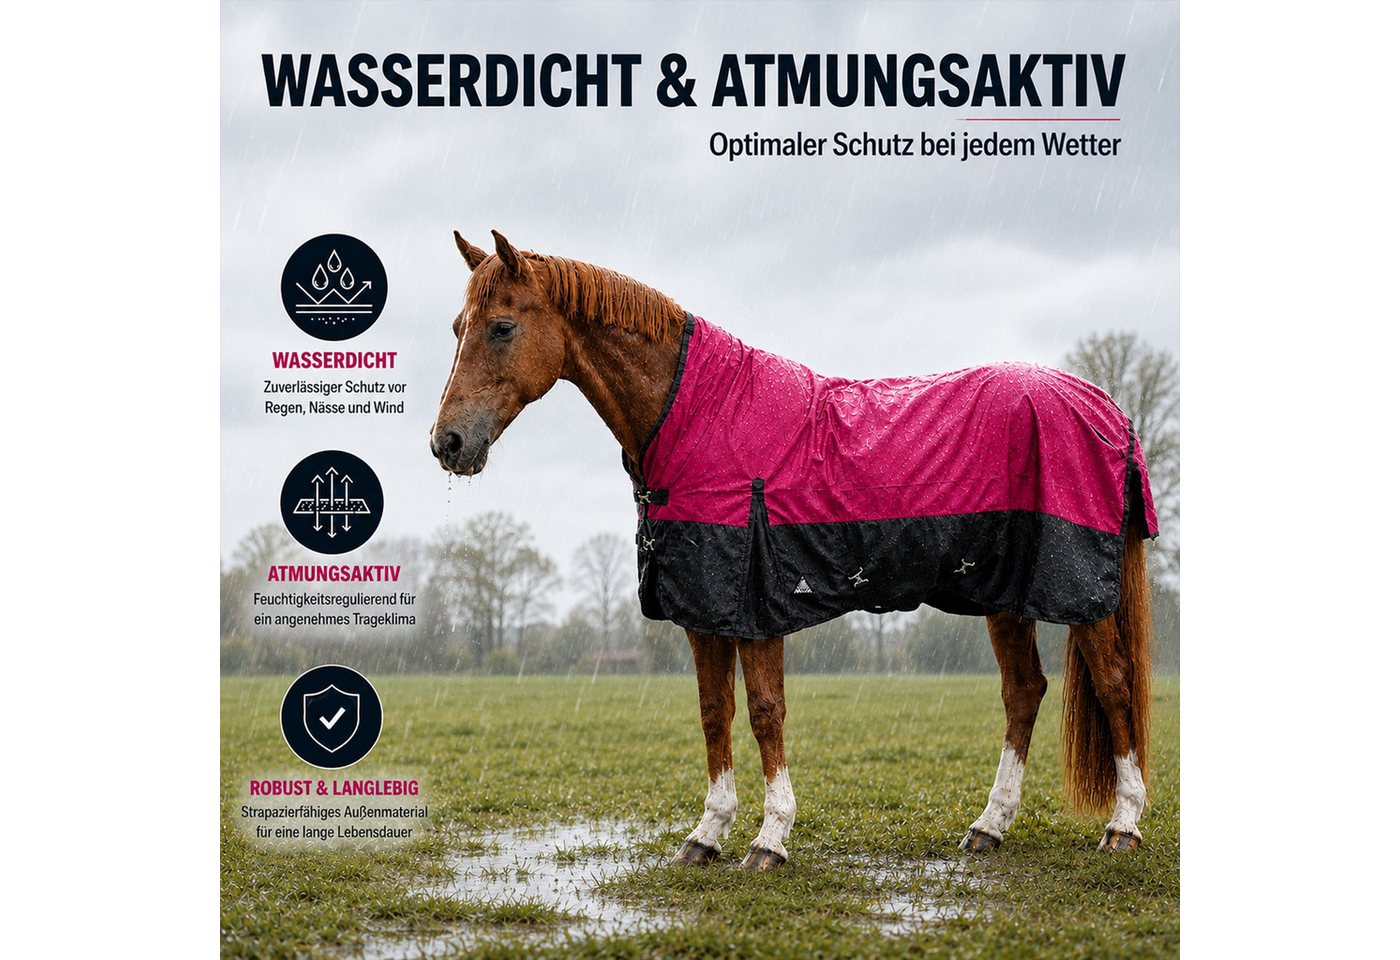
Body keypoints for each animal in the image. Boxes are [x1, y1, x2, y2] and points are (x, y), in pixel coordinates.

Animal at [430, 230, 1156, 870]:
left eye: (502, 326)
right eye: (456, 328)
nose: (448, 443)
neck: (702, 415)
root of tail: (1108, 411)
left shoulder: (757, 607)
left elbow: (764, 713)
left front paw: (770, 839)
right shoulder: (703, 611)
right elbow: (714, 713)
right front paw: (706, 835)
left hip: (1080, 595)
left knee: (1115, 685)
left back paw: (1123, 826)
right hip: (1003, 593)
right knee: (1023, 692)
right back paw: (989, 827)